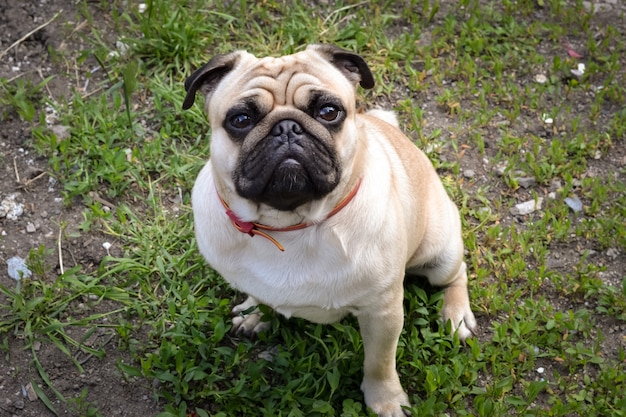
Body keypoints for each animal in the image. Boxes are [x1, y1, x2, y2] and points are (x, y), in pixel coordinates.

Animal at [183, 44, 476, 414]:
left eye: (328, 111)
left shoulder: (383, 312)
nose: (287, 128)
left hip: (439, 252)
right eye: (240, 120)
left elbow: (379, 363)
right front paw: (254, 312)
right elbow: (260, 295)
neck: (289, 225)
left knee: (457, 273)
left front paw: (385, 400)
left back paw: (457, 315)